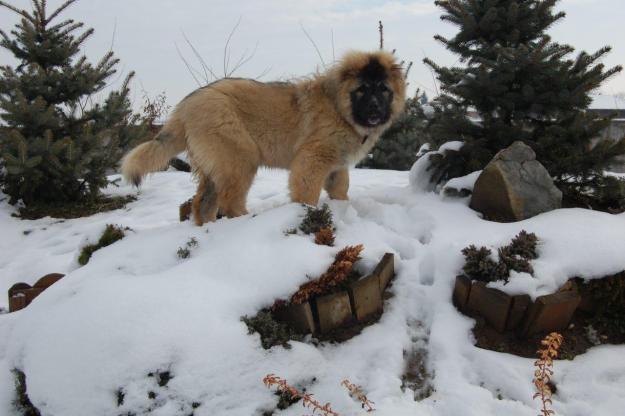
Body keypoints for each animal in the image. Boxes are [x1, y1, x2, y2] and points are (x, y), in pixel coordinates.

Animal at [122, 50, 408, 224]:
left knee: (202, 203)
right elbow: (307, 191)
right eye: (362, 90)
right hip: (239, 157)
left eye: (383, 89)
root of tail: (186, 106)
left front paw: (342, 208)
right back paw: (246, 221)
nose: (375, 108)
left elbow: (340, 188)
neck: (339, 107)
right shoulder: (312, 159)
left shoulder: (336, 164)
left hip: (215, 166)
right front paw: (308, 213)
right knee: (230, 200)